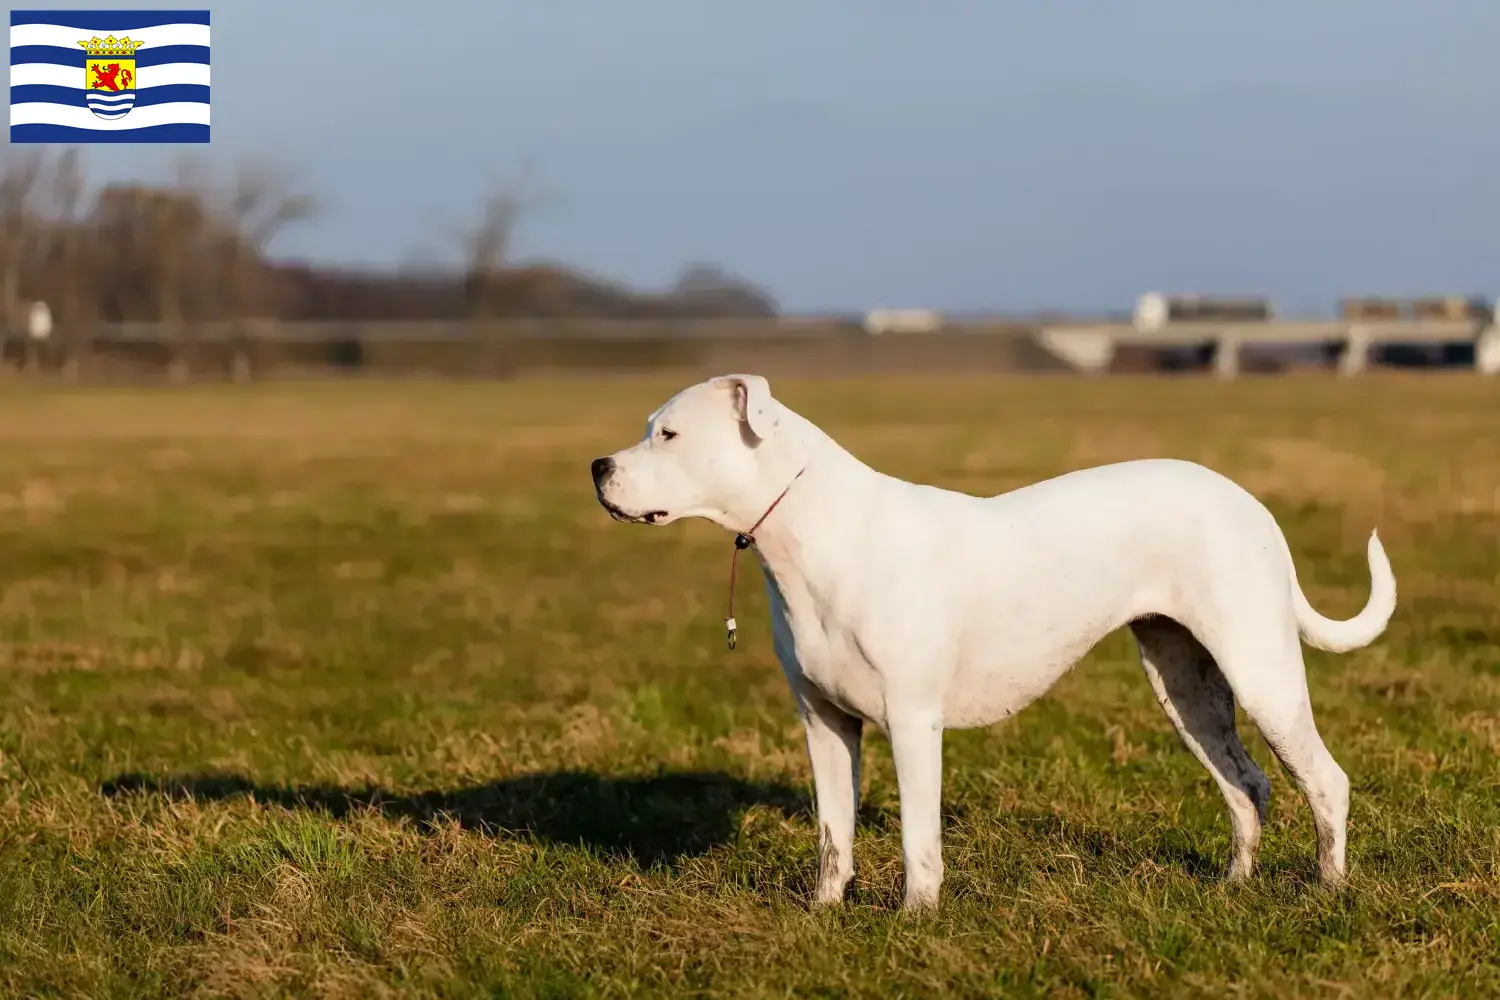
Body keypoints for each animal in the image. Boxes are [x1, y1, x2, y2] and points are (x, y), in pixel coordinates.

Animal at [588, 371, 1392, 911]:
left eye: (669, 434)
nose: (598, 467)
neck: (813, 532)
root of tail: (1249, 502)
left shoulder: (913, 722)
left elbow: (917, 836)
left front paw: (915, 919)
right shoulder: (825, 723)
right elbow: (832, 831)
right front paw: (823, 911)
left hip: (1260, 672)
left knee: (1325, 781)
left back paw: (1329, 890)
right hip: (1186, 687)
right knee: (1246, 785)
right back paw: (1233, 887)